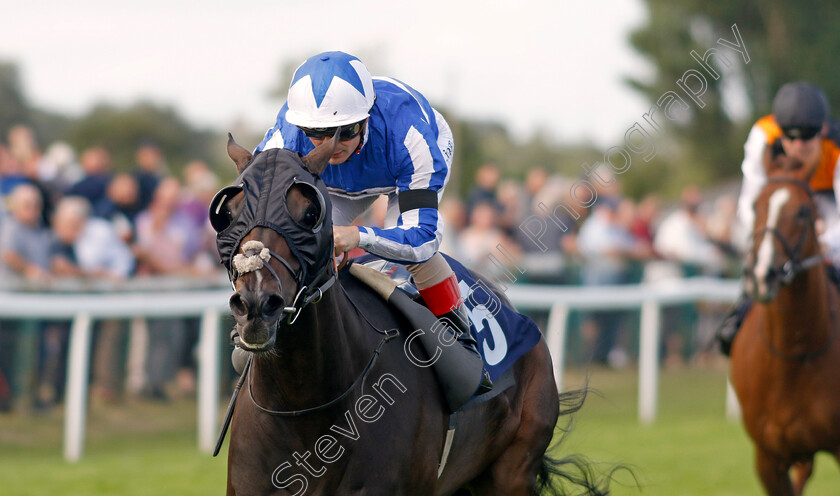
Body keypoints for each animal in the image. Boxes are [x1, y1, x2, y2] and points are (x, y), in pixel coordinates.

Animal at [213, 137, 608, 496]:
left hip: (512, 471)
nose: (256, 304)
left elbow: (419, 233)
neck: (303, 408)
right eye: (227, 214)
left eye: (310, 214)